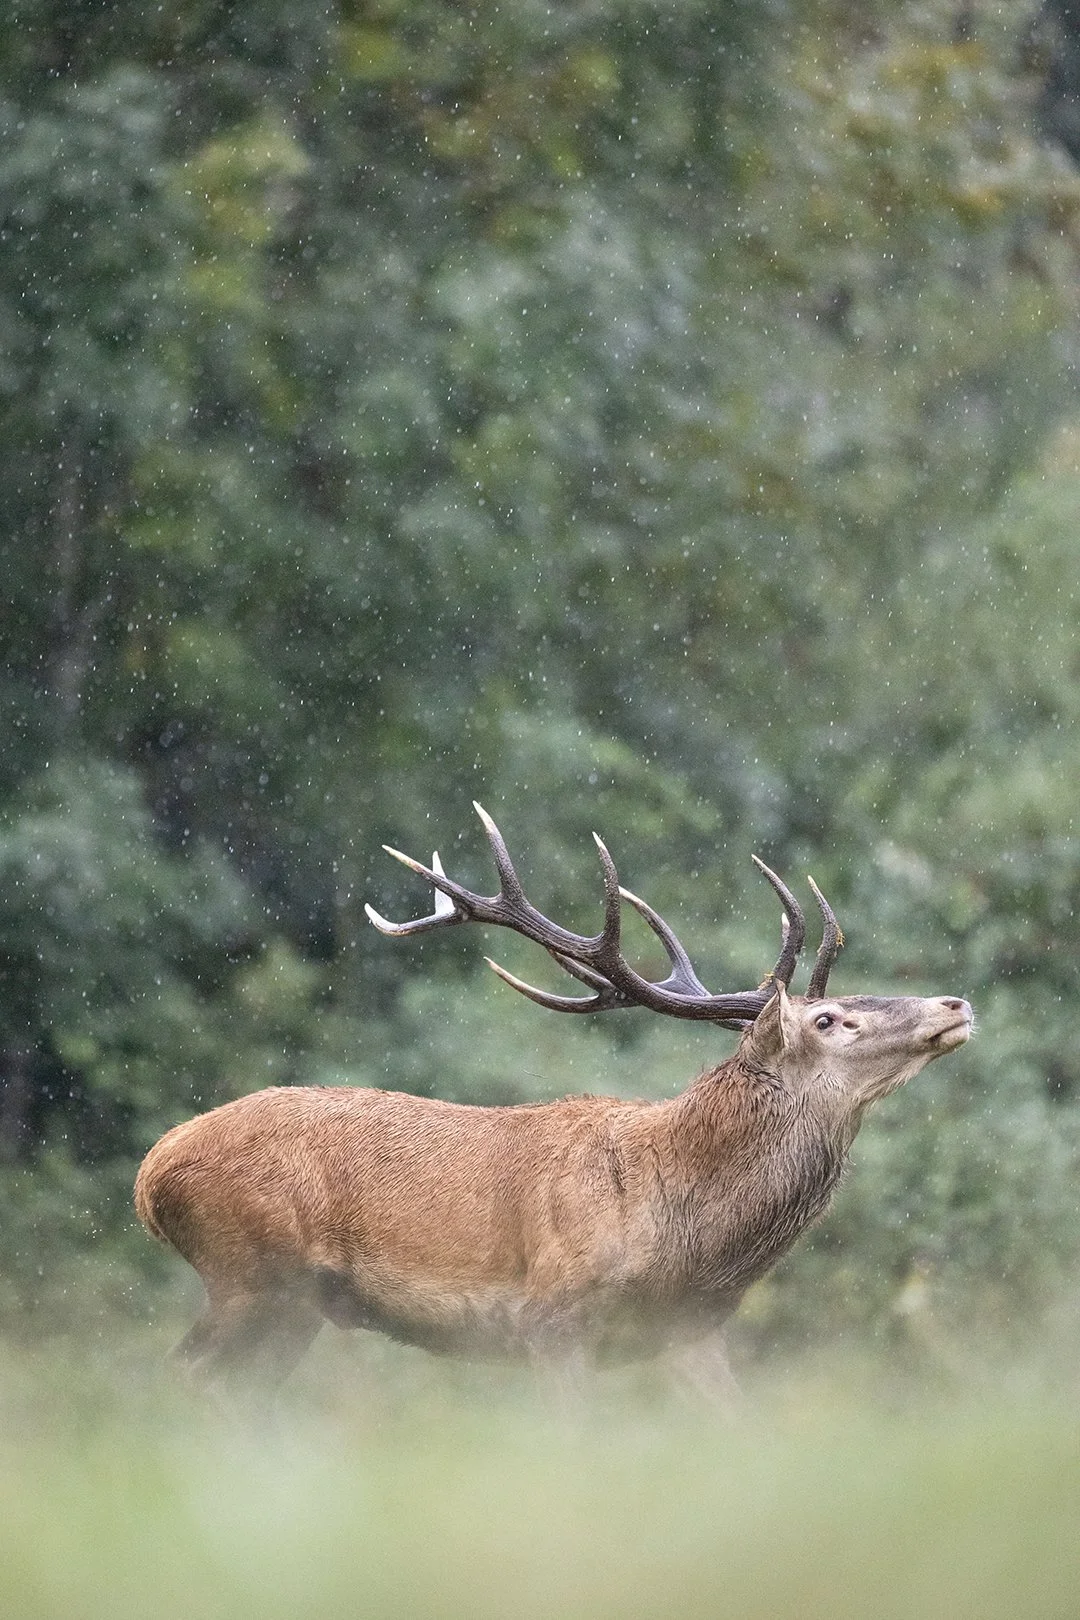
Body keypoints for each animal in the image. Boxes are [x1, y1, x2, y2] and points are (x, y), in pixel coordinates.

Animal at [135, 803, 972, 1401]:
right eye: (829, 1020)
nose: (955, 1003)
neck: (680, 1228)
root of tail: (150, 1177)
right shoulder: (549, 1321)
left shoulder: (690, 1334)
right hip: (253, 1274)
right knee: (182, 1377)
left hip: (289, 1305)